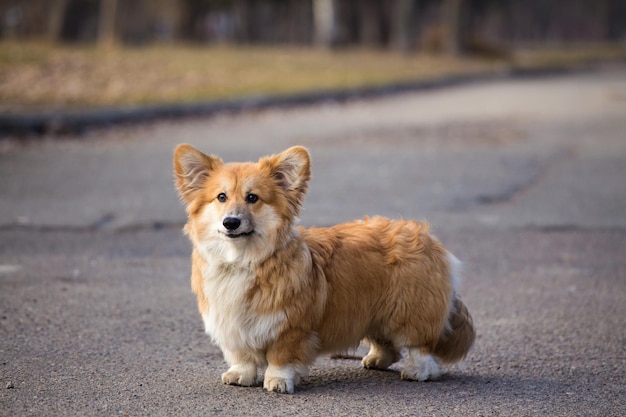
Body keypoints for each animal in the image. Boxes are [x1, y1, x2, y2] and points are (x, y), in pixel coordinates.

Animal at [173, 145, 470, 392]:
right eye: (221, 197)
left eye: (253, 198)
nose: (231, 222)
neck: (242, 260)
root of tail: (425, 235)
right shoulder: (232, 326)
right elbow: (242, 356)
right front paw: (241, 375)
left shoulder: (289, 327)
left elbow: (280, 358)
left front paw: (278, 381)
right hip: (371, 311)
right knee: (387, 345)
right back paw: (376, 359)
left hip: (409, 311)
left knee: (420, 346)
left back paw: (417, 370)